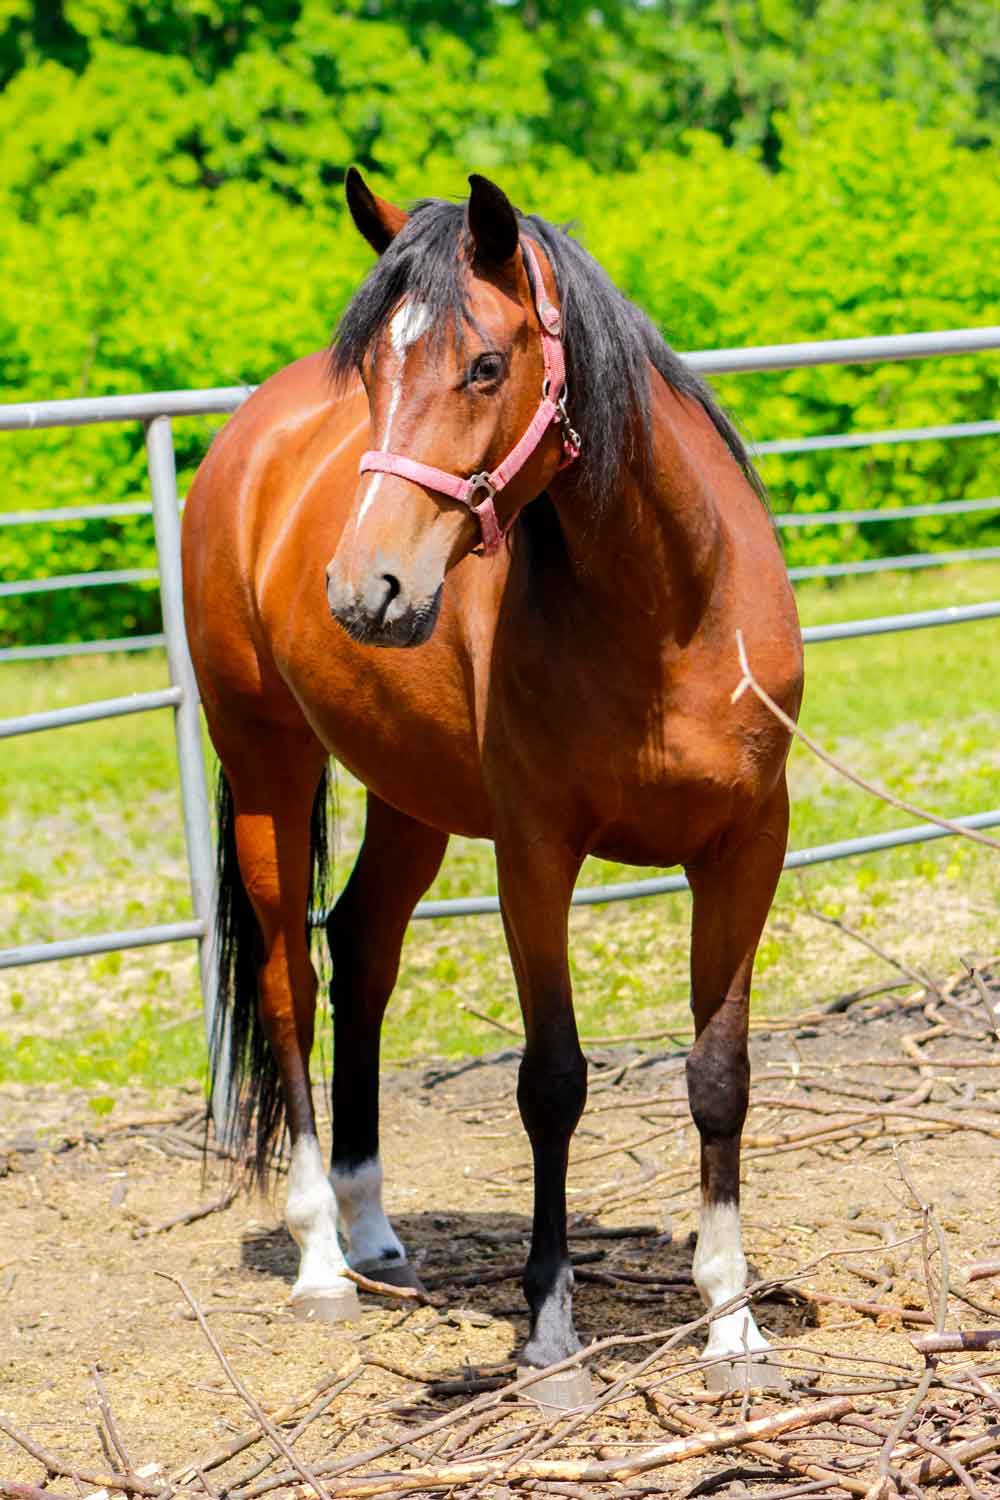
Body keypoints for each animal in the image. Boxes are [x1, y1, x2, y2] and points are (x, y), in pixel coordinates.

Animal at [182, 169, 803, 1398]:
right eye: (373, 376)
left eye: (481, 366)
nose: (365, 588)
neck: (669, 608)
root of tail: (246, 441)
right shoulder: (535, 855)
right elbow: (550, 1082)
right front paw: (551, 1334)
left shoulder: (748, 844)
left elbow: (720, 1074)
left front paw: (733, 1324)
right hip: (267, 762)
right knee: (287, 981)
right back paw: (322, 1257)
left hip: (405, 794)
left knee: (360, 947)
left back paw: (375, 1234)